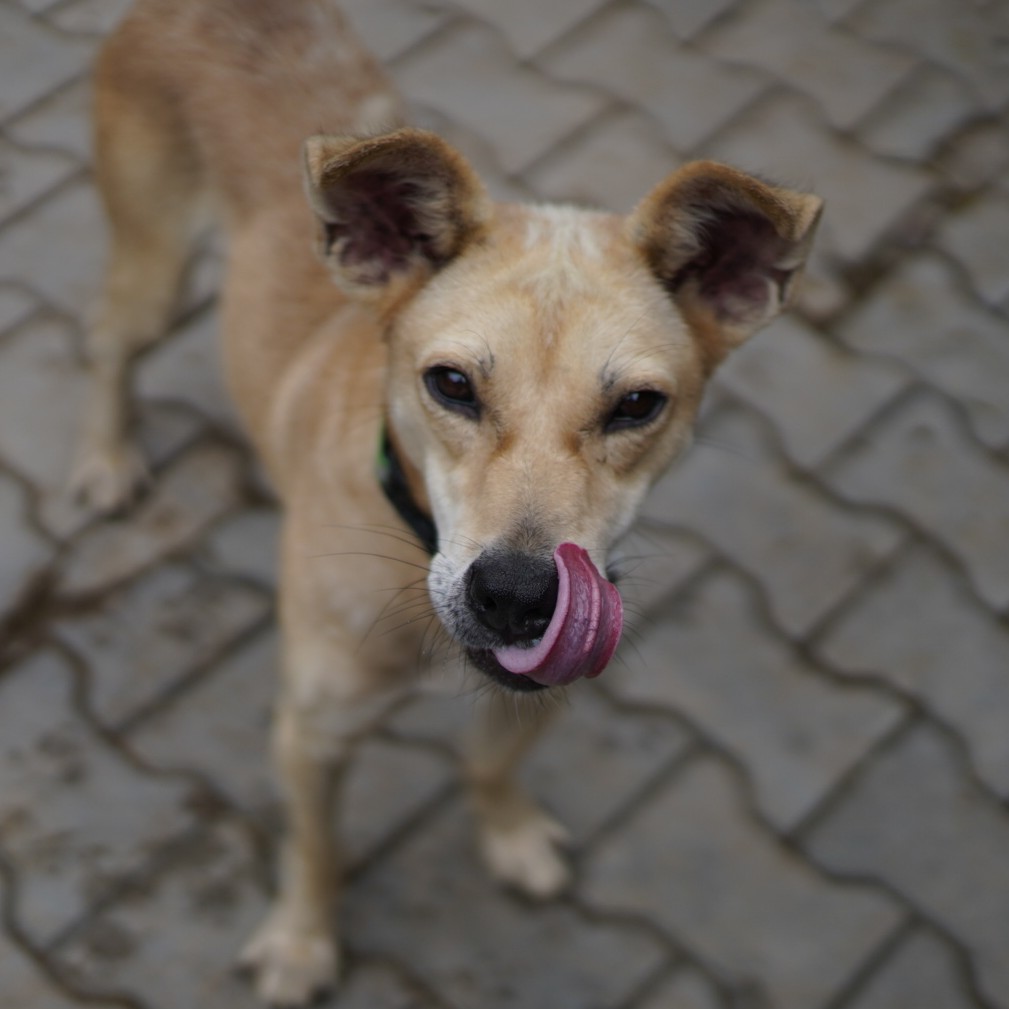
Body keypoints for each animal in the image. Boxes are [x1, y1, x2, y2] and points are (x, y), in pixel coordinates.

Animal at [70, 0, 822, 1003]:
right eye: (452, 384)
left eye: (636, 405)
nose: (518, 596)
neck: (409, 534)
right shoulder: (310, 728)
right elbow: (316, 846)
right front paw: (302, 941)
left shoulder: (536, 693)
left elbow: (490, 765)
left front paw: (508, 833)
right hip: (150, 260)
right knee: (109, 337)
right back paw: (106, 454)